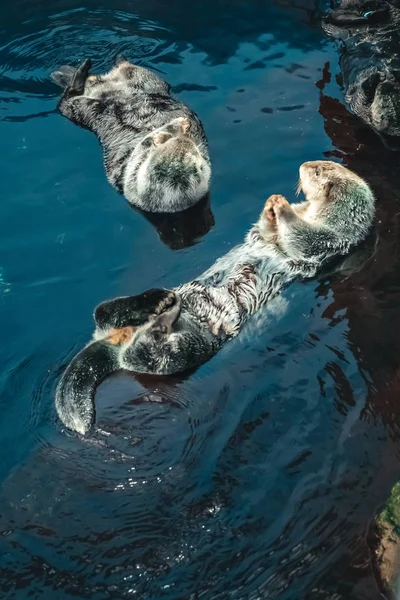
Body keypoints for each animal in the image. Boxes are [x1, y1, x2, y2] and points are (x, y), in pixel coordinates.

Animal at [51, 56, 211, 211]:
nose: (182, 139)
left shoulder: (133, 167)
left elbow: (145, 142)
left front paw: (174, 127)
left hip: (75, 109)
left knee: (67, 99)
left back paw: (80, 72)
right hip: (147, 80)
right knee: (130, 68)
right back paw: (114, 59)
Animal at [55, 159, 376, 434]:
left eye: (319, 170)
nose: (304, 165)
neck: (310, 212)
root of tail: (118, 342)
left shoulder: (326, 242)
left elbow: (302, 237)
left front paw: (282, 207)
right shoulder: (275, 234)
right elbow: (265, 231)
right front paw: (271, 206)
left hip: (191, 346)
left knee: (149, 354)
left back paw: (162, 318)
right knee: (102, 312)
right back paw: (156, 300)